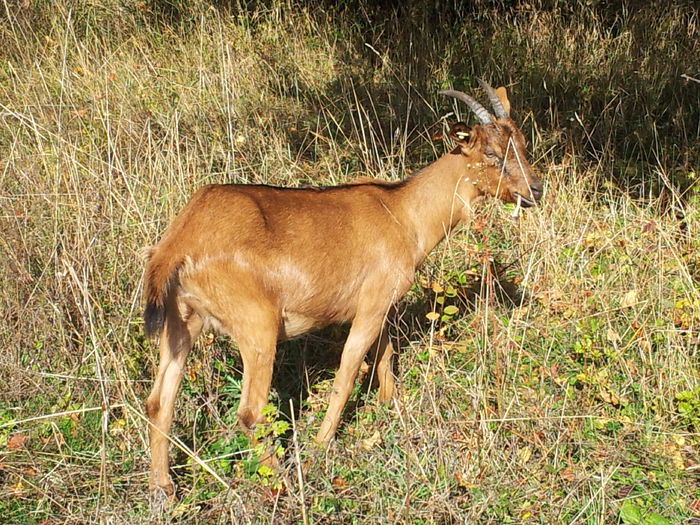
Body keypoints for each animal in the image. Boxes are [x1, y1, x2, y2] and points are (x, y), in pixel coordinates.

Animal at [145, 79, 544, 496]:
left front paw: (390, 407)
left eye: (522, 143)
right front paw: (323, 444)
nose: (535, 190)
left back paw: (164, 489)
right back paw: (284, 481)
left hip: (182, 323)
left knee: (159, 402)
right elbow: (349, 370)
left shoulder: (383, 304)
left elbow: (385, 354)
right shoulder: (370, 305)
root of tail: (179, 243)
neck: (402, 212)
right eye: (490, 152)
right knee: (251, 412)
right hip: (257, 327)